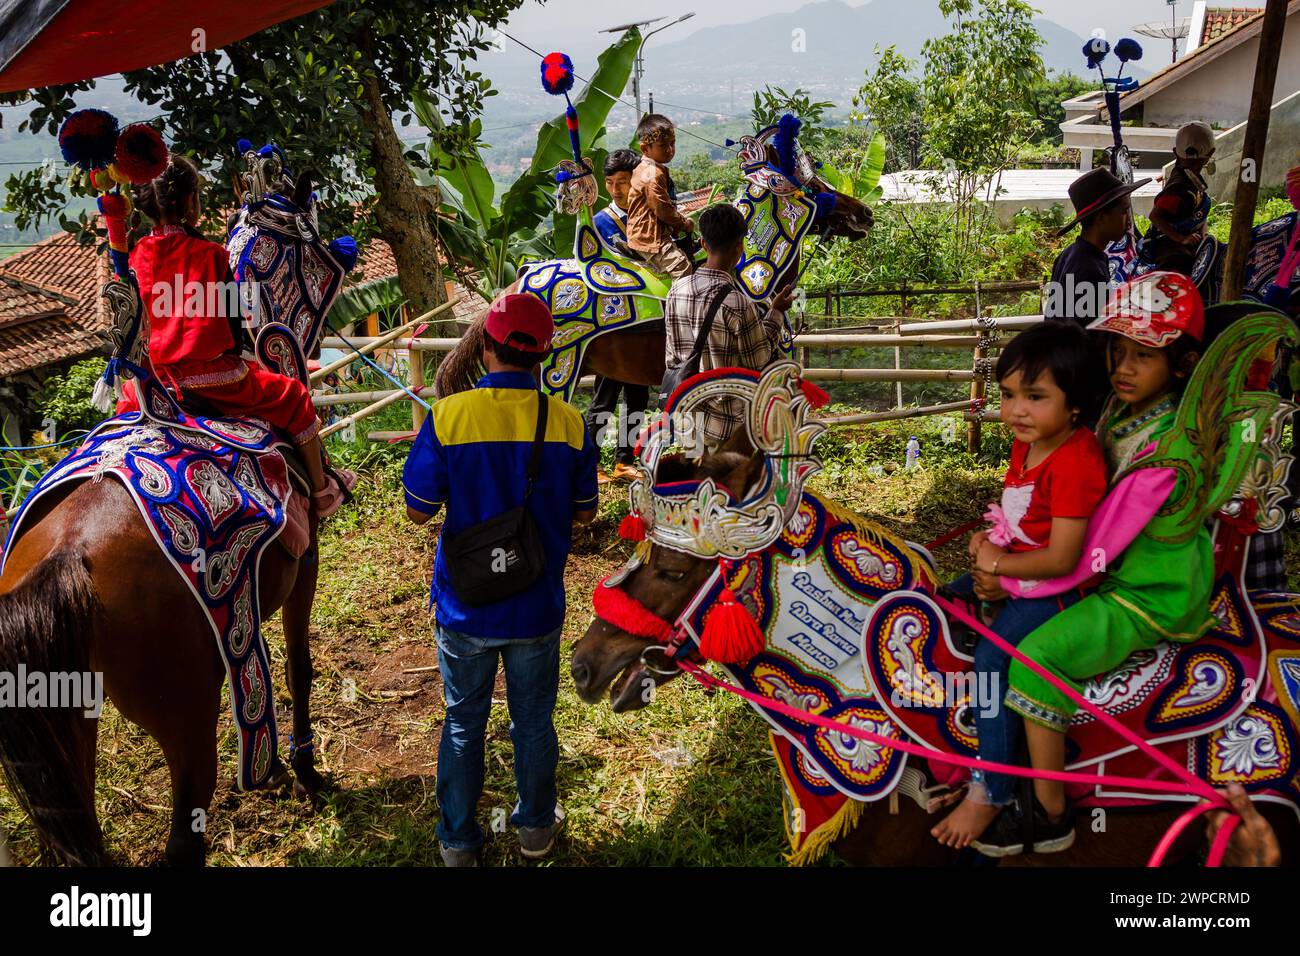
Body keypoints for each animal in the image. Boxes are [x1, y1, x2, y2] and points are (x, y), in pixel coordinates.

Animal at [0, 119, 356, 868]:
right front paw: (307, 771)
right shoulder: (305, 568)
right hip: (184, 712)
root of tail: (66, 559)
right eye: (306, 223)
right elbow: (300, 667)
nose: (344, 248)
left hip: (63, 721)